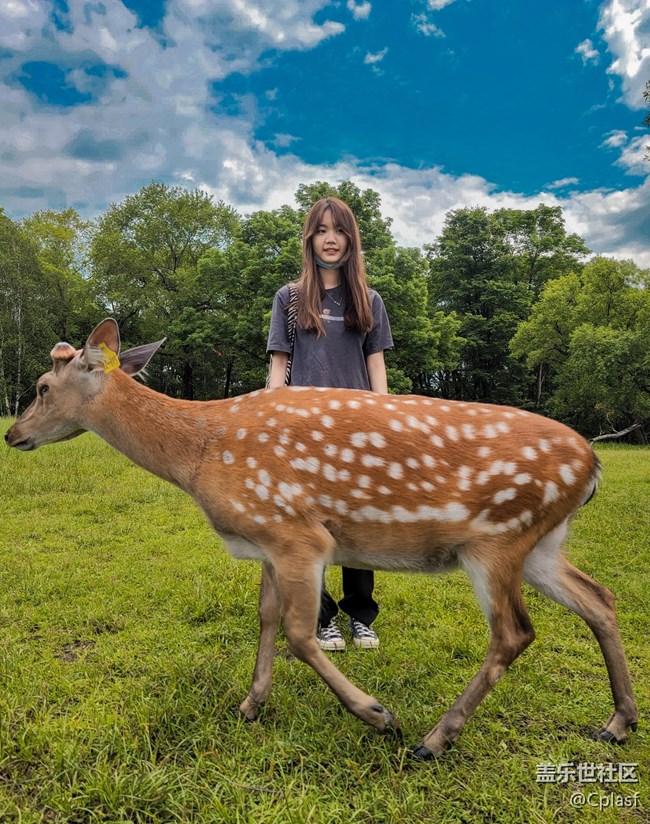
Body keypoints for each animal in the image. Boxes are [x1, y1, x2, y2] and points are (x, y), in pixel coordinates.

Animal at [5, 318, 636, 756]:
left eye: (41, 387)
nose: (12, 434)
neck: (200, 454)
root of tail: (593, 465)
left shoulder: (299, 534)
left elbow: (300, 633)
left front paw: (376, 713)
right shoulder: (265, 539)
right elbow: (265, 617)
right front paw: (250, 705)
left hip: (497, 539)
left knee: (514, 632)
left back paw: (434, 739)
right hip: (541, 543)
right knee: (600, 599)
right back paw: (618, 723)